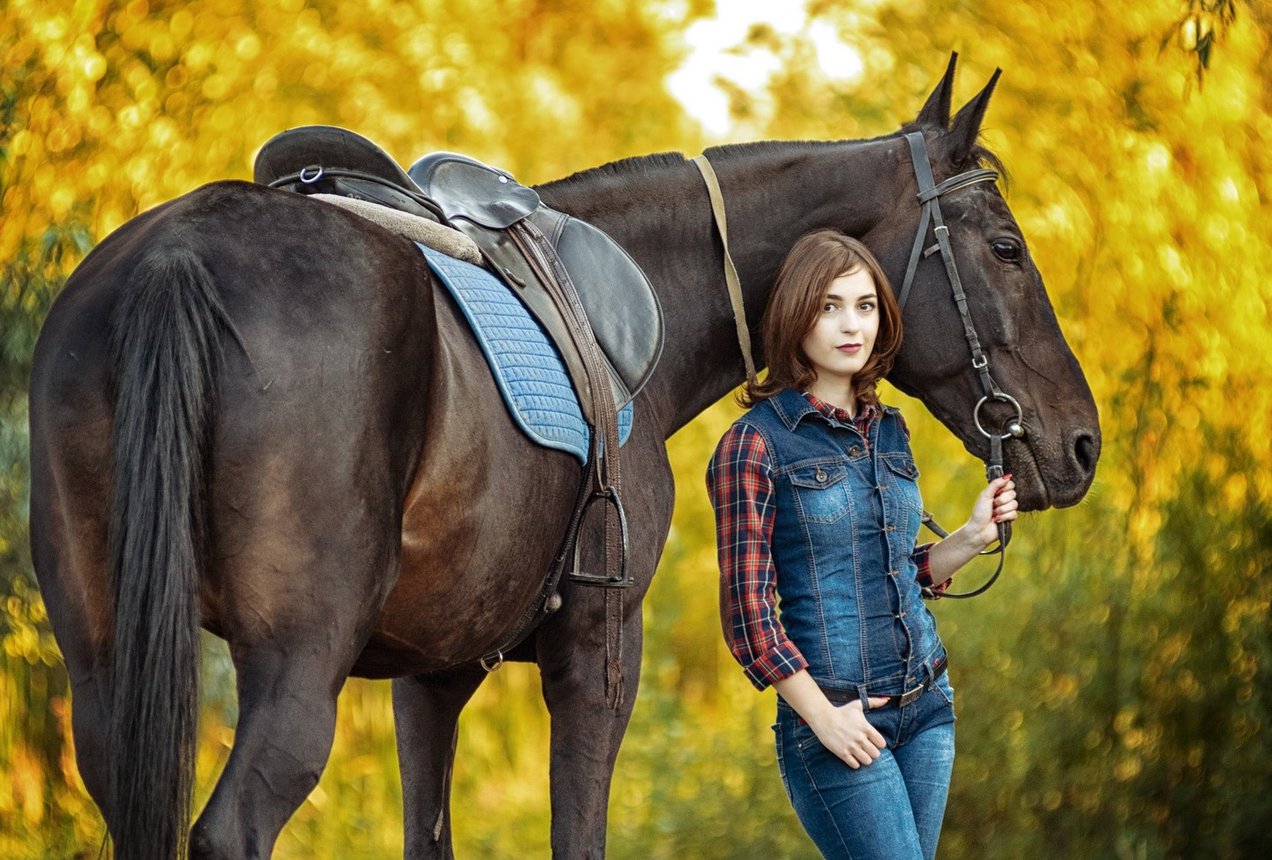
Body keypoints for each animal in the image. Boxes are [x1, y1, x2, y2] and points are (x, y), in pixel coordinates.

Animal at [29, 55, 1099, 860]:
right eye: (1006, 248)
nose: (1082, 442)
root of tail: (181, 256)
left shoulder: (432, 675)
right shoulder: (599, 649)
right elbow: (577, 835)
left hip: (108, 678)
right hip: (295, 662)